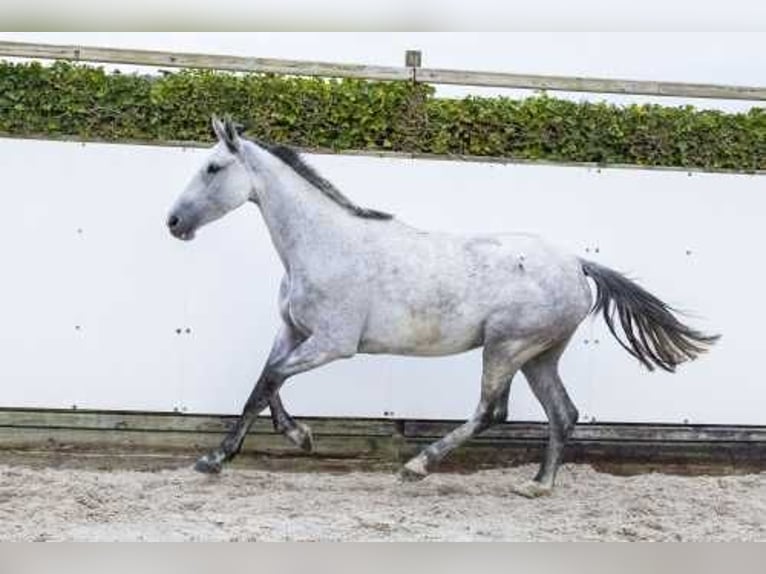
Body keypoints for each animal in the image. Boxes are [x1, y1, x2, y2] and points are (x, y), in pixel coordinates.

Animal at [166, 118, 720, 500]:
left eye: (212, 168)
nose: (173, 222)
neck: (324, 245)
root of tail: (578, 264)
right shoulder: (292, 331)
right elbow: (263, 385)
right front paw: (250, 449)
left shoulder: (333, 343)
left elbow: (271, 378)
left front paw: (246, 451)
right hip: (539, 355)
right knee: (562, 412)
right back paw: (537, 485)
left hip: (506, 346)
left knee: (492, 411)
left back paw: (417, 466)